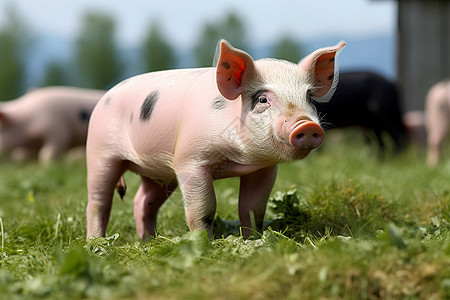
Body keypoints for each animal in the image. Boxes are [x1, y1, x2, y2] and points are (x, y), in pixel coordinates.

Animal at [85, 39, 344, 239]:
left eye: (309, 97)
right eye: (262, 99)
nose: (307, 125)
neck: (238, 158)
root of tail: (104, 97)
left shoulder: (264, 169)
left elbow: (253, 208)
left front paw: (253, 240)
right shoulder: (189, 160)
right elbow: (204, 209)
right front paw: (204, 243)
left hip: (159, 172)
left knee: (143, 201)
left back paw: (147, 241)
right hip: (100, 152)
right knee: (98, 201)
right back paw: (96, 243)